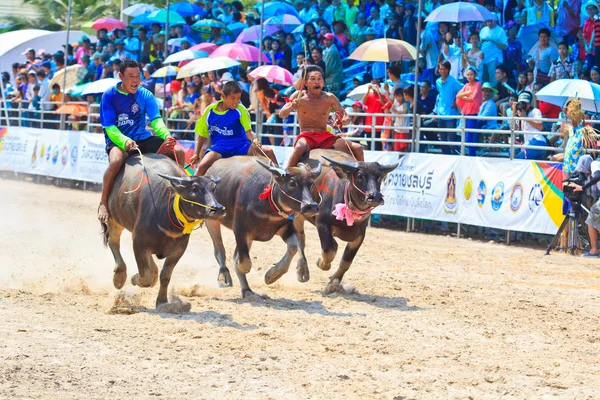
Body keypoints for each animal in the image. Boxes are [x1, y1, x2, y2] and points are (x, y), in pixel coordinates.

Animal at [101, 155, 225, 308]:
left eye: (214, 189)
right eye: (195, 188)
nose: (217, 209)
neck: (168, 212)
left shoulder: (179, 249)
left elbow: (165, 276)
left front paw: (162, 301)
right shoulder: (138, 243)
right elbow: (145, 276)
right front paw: (134, 278)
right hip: (114, 219)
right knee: (113, 242)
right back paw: (119, 276)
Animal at [204, 156, 322, 296]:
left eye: (312, 184)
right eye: (292, 183)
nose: (312, 206)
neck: (267, 206)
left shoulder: (286, 228)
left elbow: (293, 247)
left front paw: (272, 275)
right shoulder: (239, 230)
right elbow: (244, 262)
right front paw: (242, 268)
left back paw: (247, 289)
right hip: (212, 221)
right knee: (220, 249)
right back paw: (224, 277)